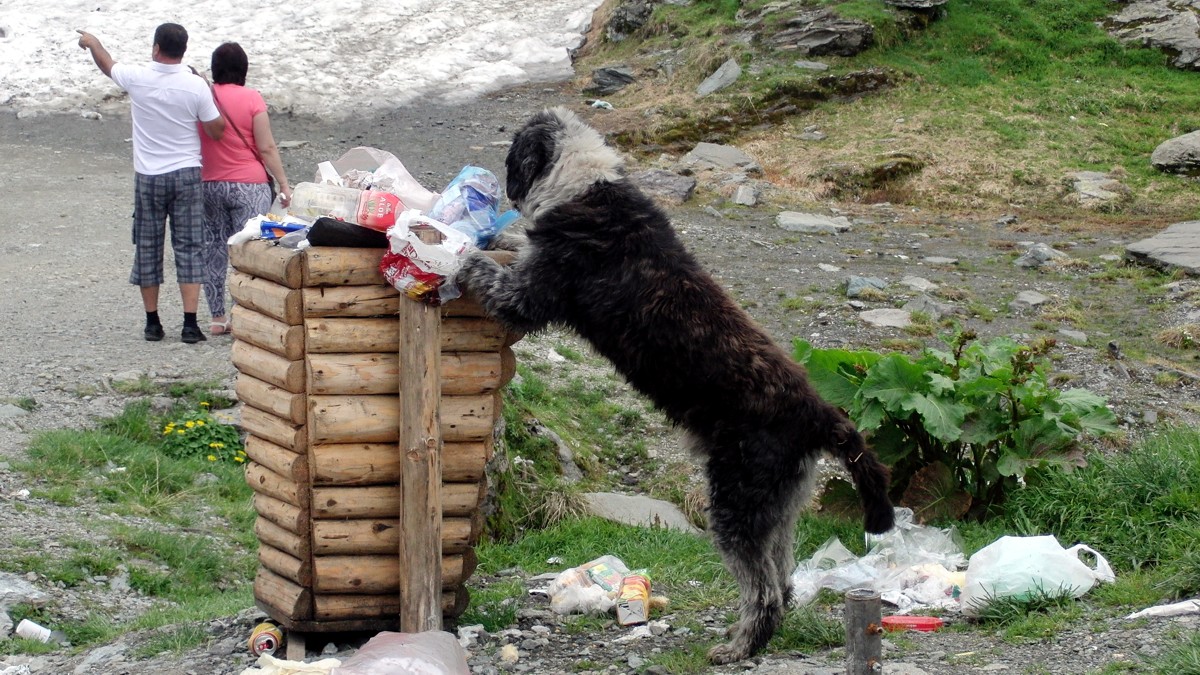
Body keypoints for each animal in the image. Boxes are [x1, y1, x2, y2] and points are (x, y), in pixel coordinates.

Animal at [453, 106, 897, 662]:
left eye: (514, 153)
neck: (586, 185)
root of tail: (820, 415)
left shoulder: (528, 294)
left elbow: (493, 274)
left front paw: (455, 250)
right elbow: (515, 243)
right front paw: (490, 236)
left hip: (736, 502)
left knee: (764, 589)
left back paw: (740, 647)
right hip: (779, 504)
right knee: (783, 575)